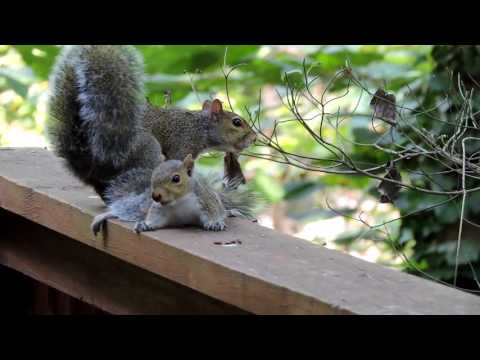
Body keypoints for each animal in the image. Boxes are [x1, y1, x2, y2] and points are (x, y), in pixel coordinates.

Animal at [46, 44, 255, 201]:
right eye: (237, 122)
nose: (253, 138)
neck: (200, 128)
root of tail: (91, 162)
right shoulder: (183, 145)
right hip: (146, 148)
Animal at [89, 153, 255, 235]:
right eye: (153, 177)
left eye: (176, 178)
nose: (155, 196)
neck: (179, 201)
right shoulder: (159, 210)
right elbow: (154, 219)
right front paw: (145, 224)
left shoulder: (205, 200)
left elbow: (214, 212)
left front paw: (215, 223)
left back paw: (232, 212)